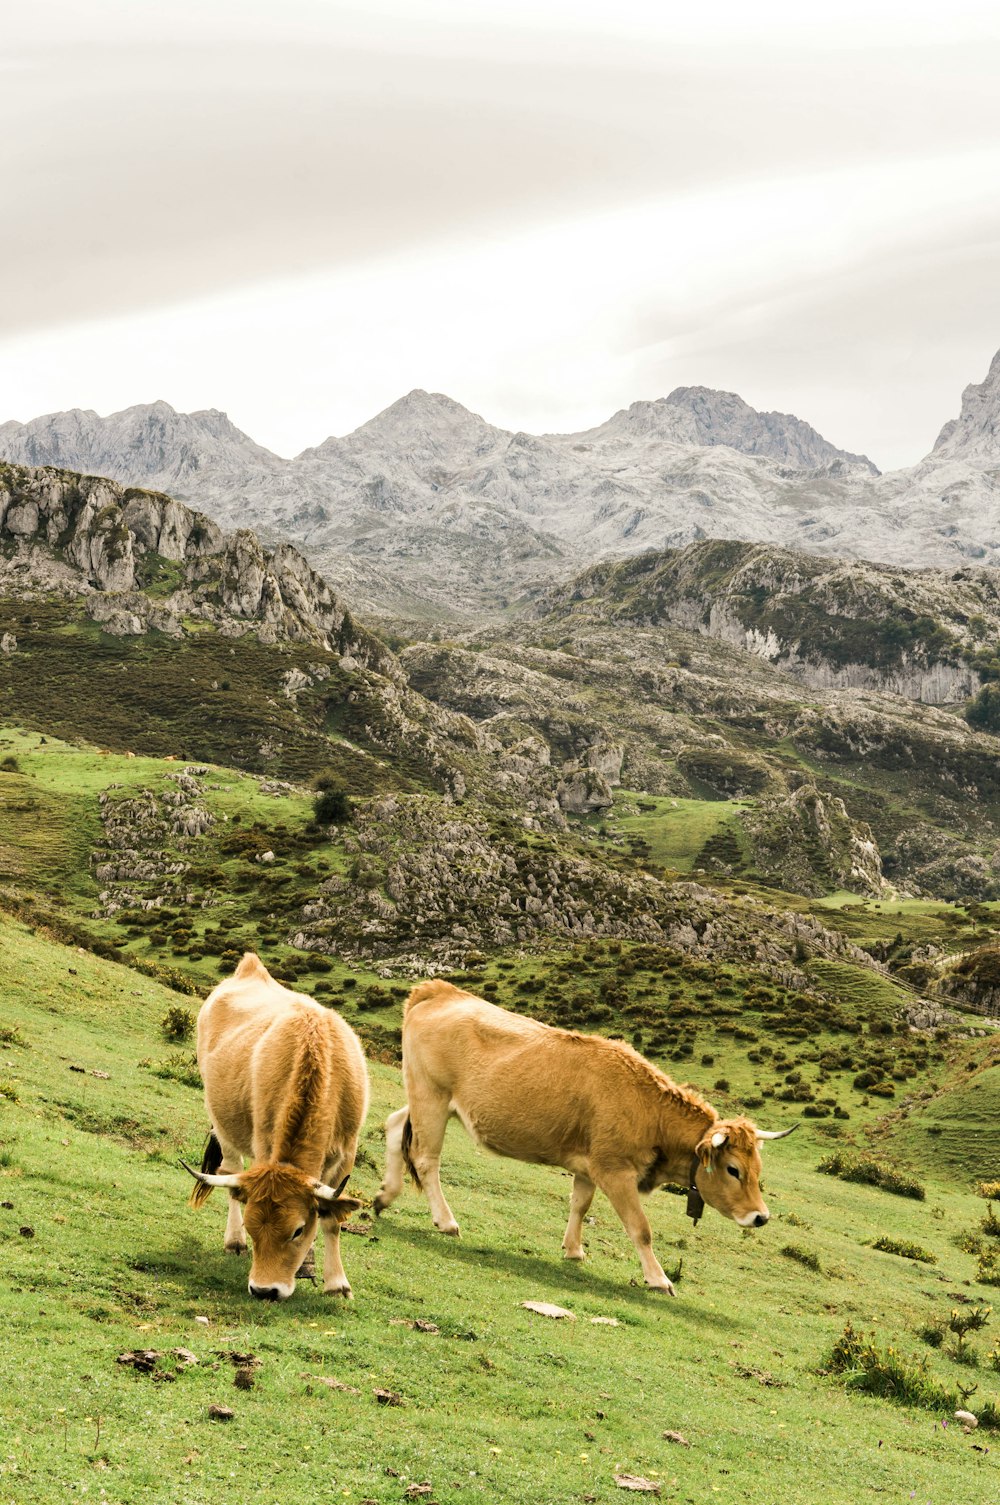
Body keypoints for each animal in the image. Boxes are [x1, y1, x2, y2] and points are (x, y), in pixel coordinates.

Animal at [181, 957, 368, 1300]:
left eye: (298, 1230)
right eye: (252, 1226)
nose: (264, 1290)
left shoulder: (347, 1151)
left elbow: (332, 1219)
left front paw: (336, 1284)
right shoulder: (264, 1144)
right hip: (221, 1122)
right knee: (231, 1173)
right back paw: (233, 1242)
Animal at [375, 975, 795, 1294]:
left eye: (758, 1170)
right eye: (733, 1170)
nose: (761, 1217)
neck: (648, 1109)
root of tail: (438, 990)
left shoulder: (588, 1165)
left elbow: (579, 1204)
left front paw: (573, 1250)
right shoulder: (615, 1170)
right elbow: (640, 1228)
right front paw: (658, 1279)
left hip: (425, 1101)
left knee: (395, 1125)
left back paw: (385, 1196)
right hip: (431, 1097)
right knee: (426, 1159)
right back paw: (446, 1222)